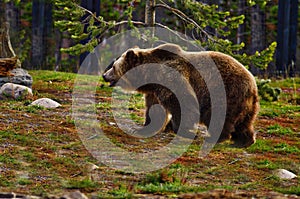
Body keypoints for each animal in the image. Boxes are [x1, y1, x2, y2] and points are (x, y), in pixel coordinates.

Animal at [102, 42, 258, 147]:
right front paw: (143, 127)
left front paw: (182, 130)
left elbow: (182, 102)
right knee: (244, 123)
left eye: (114, 66)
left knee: (219, 115)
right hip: (245, 104)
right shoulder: (155, 90)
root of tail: (252, 83)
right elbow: (155, 109)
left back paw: (217, 137)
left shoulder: (172, 75)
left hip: (224, 92)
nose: (104, 75)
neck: (150, 75)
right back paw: (244, 141)